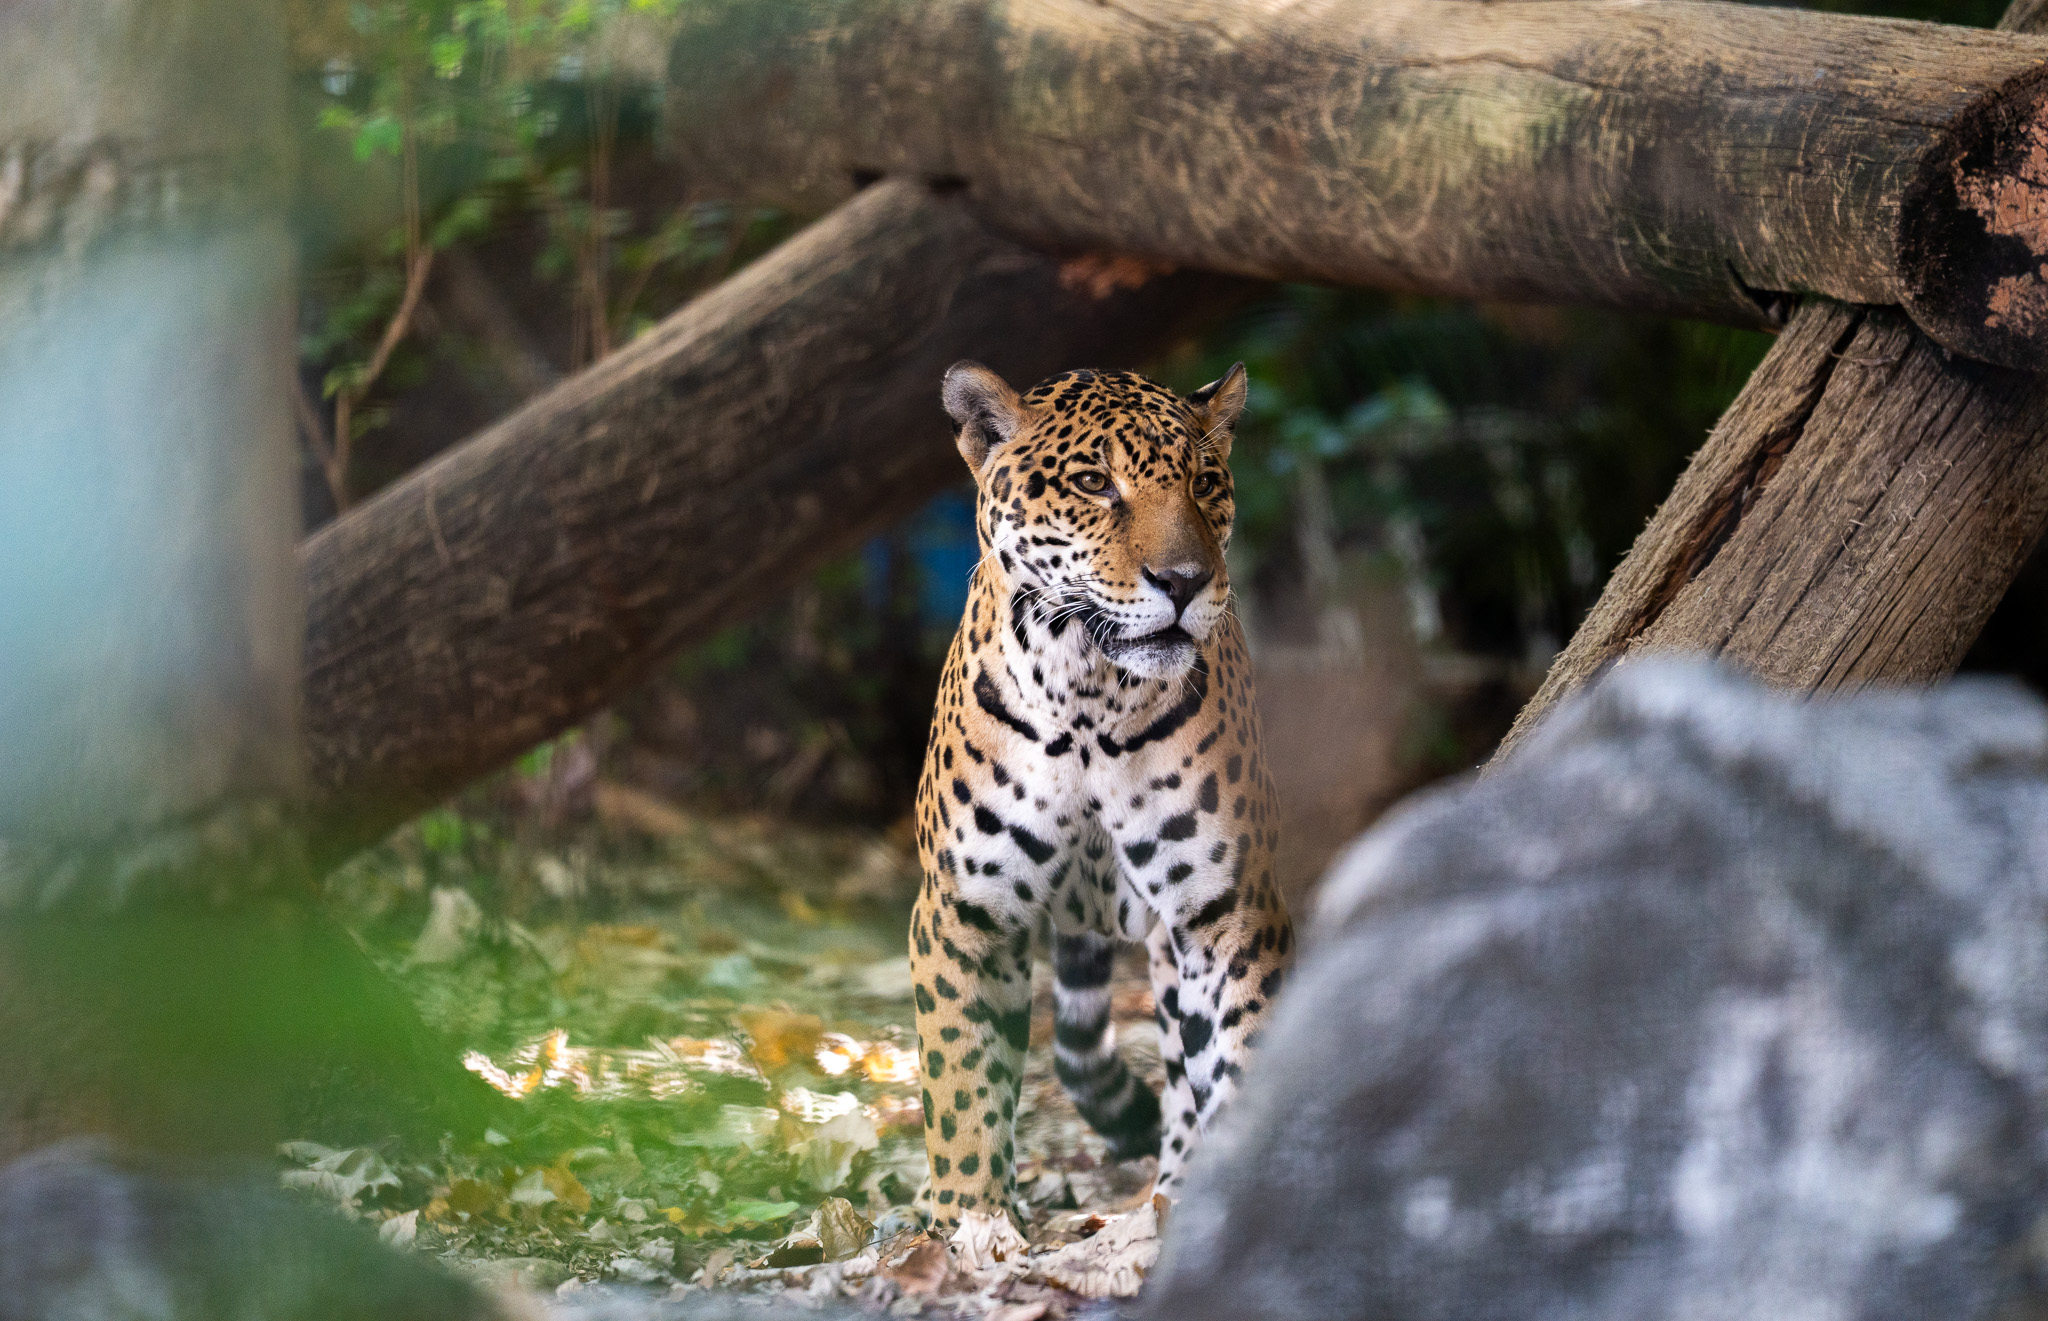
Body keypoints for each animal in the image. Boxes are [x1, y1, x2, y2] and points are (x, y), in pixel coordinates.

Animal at [909, 359, 1293, 1234]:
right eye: (1093, 483)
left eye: (1205, 482)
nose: (1185, 581)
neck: (1088, 692)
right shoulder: (960, 911)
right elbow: (961, 1083)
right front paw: (971, 1221)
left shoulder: (1229, 908)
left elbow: (1245, 1051)